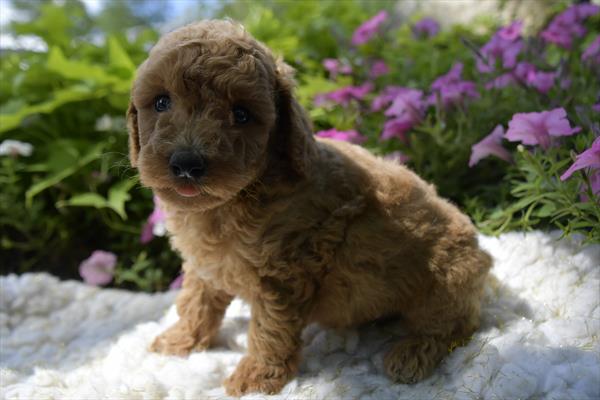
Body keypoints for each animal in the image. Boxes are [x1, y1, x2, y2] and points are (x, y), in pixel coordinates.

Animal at [126, 19, 492, 396]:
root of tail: (483, 258)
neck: (235, 200)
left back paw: (412, 354)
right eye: (161, 102)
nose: (186, 164)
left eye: (241, 114)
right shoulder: (205, 264)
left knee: (454, 325)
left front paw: (255, 377)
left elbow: (269, 328)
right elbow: (195, 302)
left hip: (448, 277)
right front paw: (181, 340)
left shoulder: (284, 274)